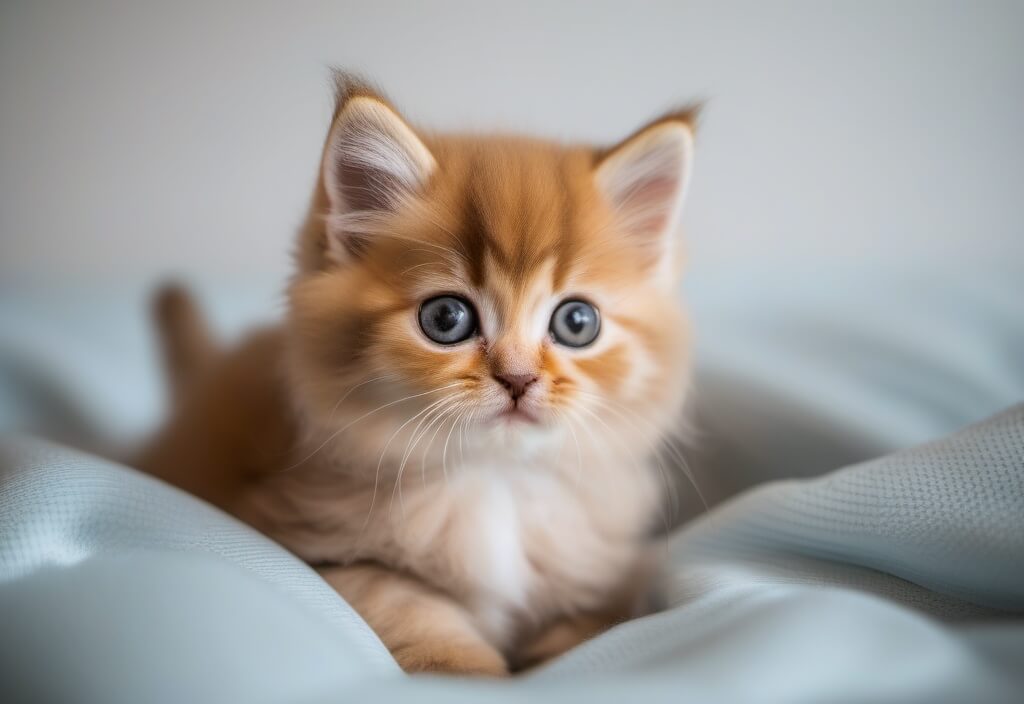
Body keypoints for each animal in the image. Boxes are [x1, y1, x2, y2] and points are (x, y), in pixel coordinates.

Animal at [136, 74, 696, 675]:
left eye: (576, 322)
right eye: (446, 318)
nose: (518, 378)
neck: (496, 482)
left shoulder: (601, 573)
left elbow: (591, 631)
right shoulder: (321, 548)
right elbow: (413, 615)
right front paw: (469, 675)